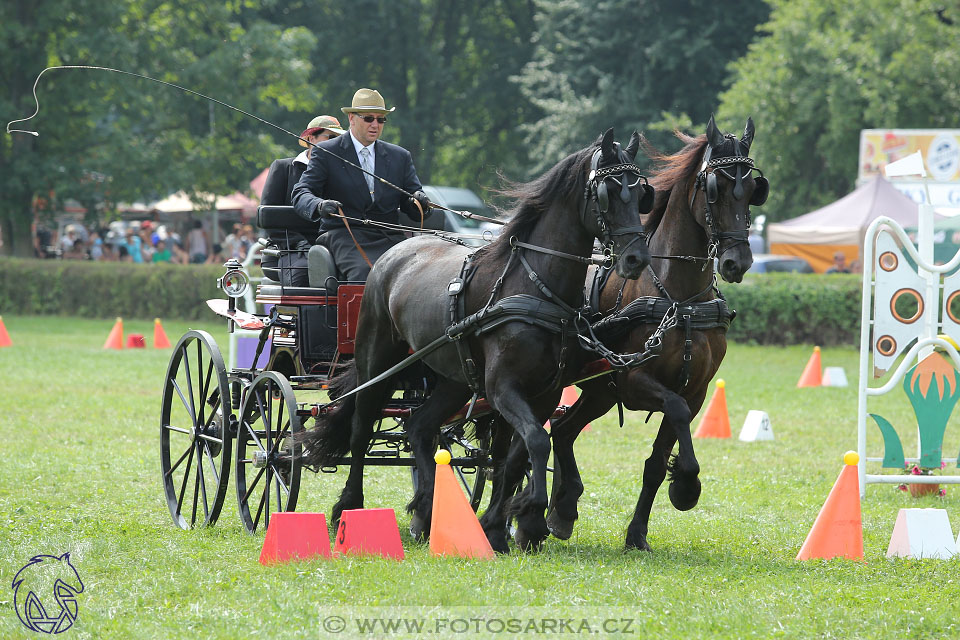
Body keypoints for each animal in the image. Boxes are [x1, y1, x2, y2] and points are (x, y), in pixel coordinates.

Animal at [304, 129, 656, 552]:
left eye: (642, 193)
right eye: (607, 191)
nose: (637, 259)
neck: (533, 285)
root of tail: (396, 250)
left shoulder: (545, 392)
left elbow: (517, 455)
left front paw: (499, 525)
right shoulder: (503, 386)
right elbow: (536, 442)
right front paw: (526, 509)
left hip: (452, 378)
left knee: (419, 427)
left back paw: (427, 509)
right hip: (378, 361)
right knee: (361, 429)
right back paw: (349, 508)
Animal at [498, 117, 768, 552]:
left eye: (753, 190)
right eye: (714, 189)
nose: (736, 262)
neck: (679, 299)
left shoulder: (696, 390)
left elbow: (657, 462)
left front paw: (638, 532)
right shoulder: (635, 381)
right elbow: (674, 411)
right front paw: (686, 486)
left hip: (599, 392)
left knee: (563, 429)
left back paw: (561, 510)